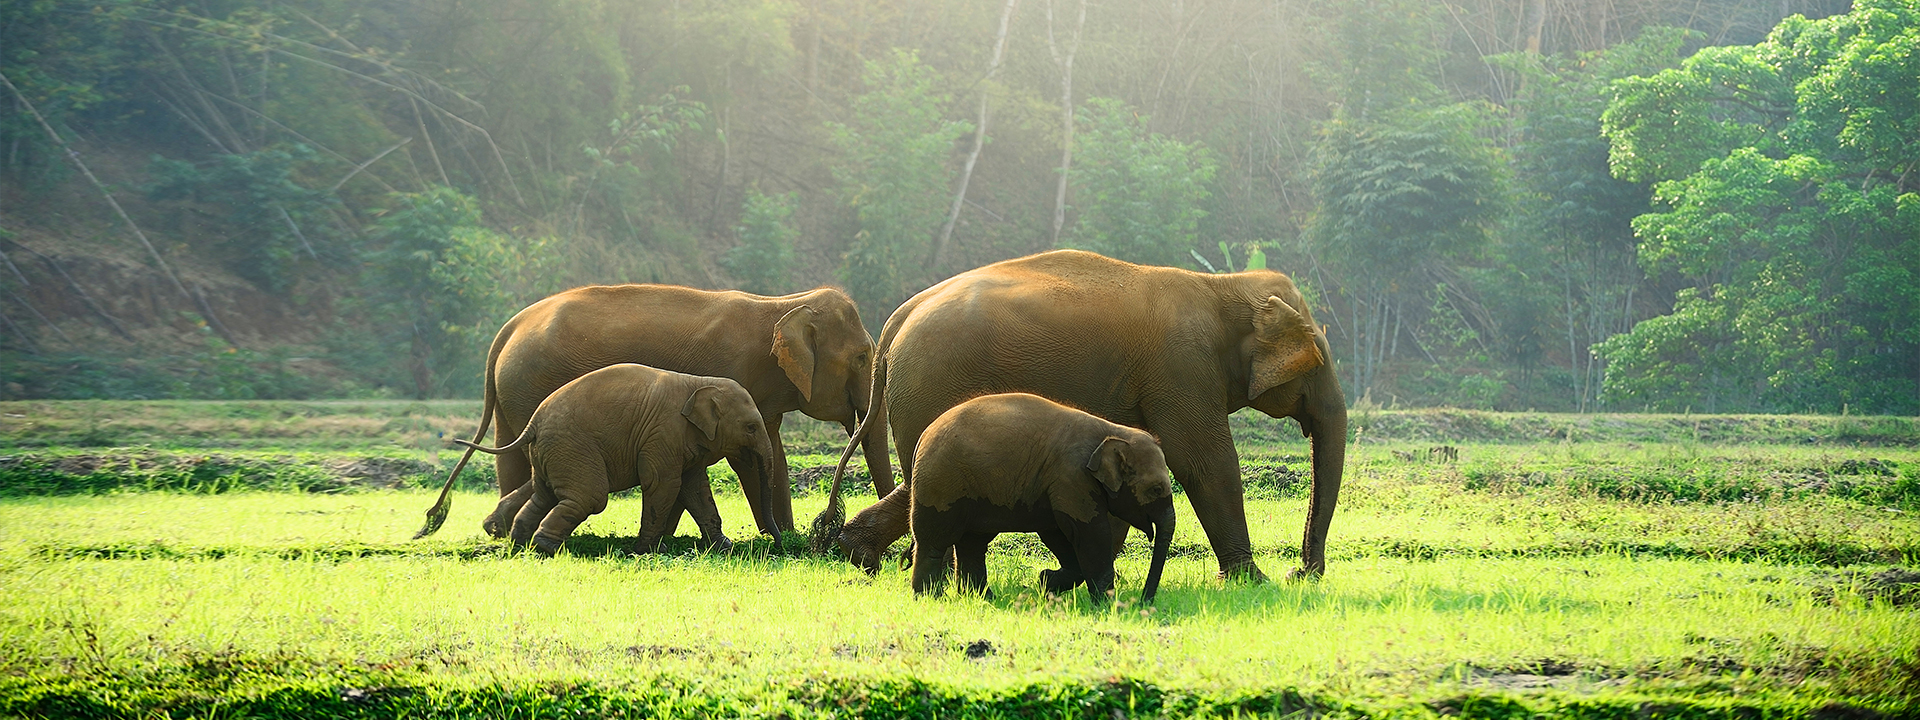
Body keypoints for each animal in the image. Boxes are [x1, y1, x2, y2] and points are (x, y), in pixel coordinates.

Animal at [449, 366, 779, 556]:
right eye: (751, 427)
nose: (777, 544)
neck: (699, 382)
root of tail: (534, 423)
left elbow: (695, 488)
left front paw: (724, 548)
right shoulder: (662, 434)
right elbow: (662, 484)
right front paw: (646, 551)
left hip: (549, 452)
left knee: (545, 495)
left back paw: (521, 544)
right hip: (573, 448)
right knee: (589, 497)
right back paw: (546, 548)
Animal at [814, 251, 1351, 583]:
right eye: (1316, 361)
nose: (1302, 572)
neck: (1225, 287)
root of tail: (896, 320)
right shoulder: (1182, 367)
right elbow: (1204, 461)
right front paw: (1251, 580)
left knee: (919, 480)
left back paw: (858, 553)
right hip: (931, 384)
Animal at [906, 395, 1175, 610]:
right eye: (1156, 489)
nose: (1144, 602)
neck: (1113, 431)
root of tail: (923, 435)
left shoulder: (1056, 485)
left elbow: (1057, 531)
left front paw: (1046, 582)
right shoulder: (1072, 476)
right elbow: (1087, 531)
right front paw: (1105, 605)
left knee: (972, 544)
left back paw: (983, 597)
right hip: (941, 484)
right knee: (935, 539)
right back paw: (930, 598)